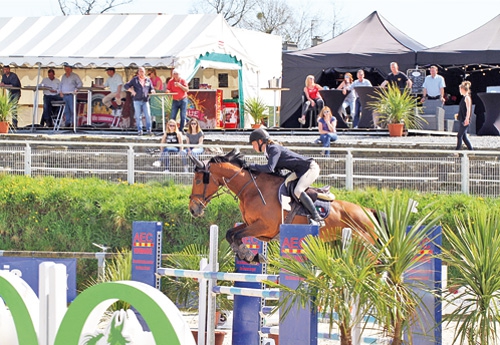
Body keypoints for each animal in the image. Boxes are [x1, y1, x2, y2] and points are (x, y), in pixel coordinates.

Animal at [189, 149, 380, 262]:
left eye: (198, 180)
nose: (193, 209)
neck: (251, 188)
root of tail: (369, 212)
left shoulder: (265, 227)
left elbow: (237, 235)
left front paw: (249, 255)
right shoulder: (252, 224)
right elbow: (231, 234)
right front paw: (250, 255)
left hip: (363, 248)